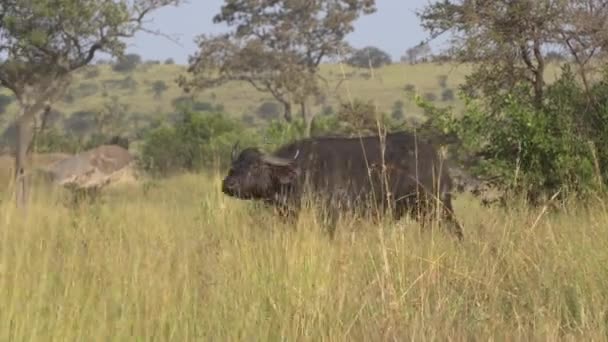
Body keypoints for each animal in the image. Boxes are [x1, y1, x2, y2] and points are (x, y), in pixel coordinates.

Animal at [223, 132, 466, 240]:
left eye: (255, 166)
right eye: (236, 165)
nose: (228, 185)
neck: (301, 173)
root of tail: (437, 159)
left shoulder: (330, 215)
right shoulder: (289, 215)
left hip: (438, 206)